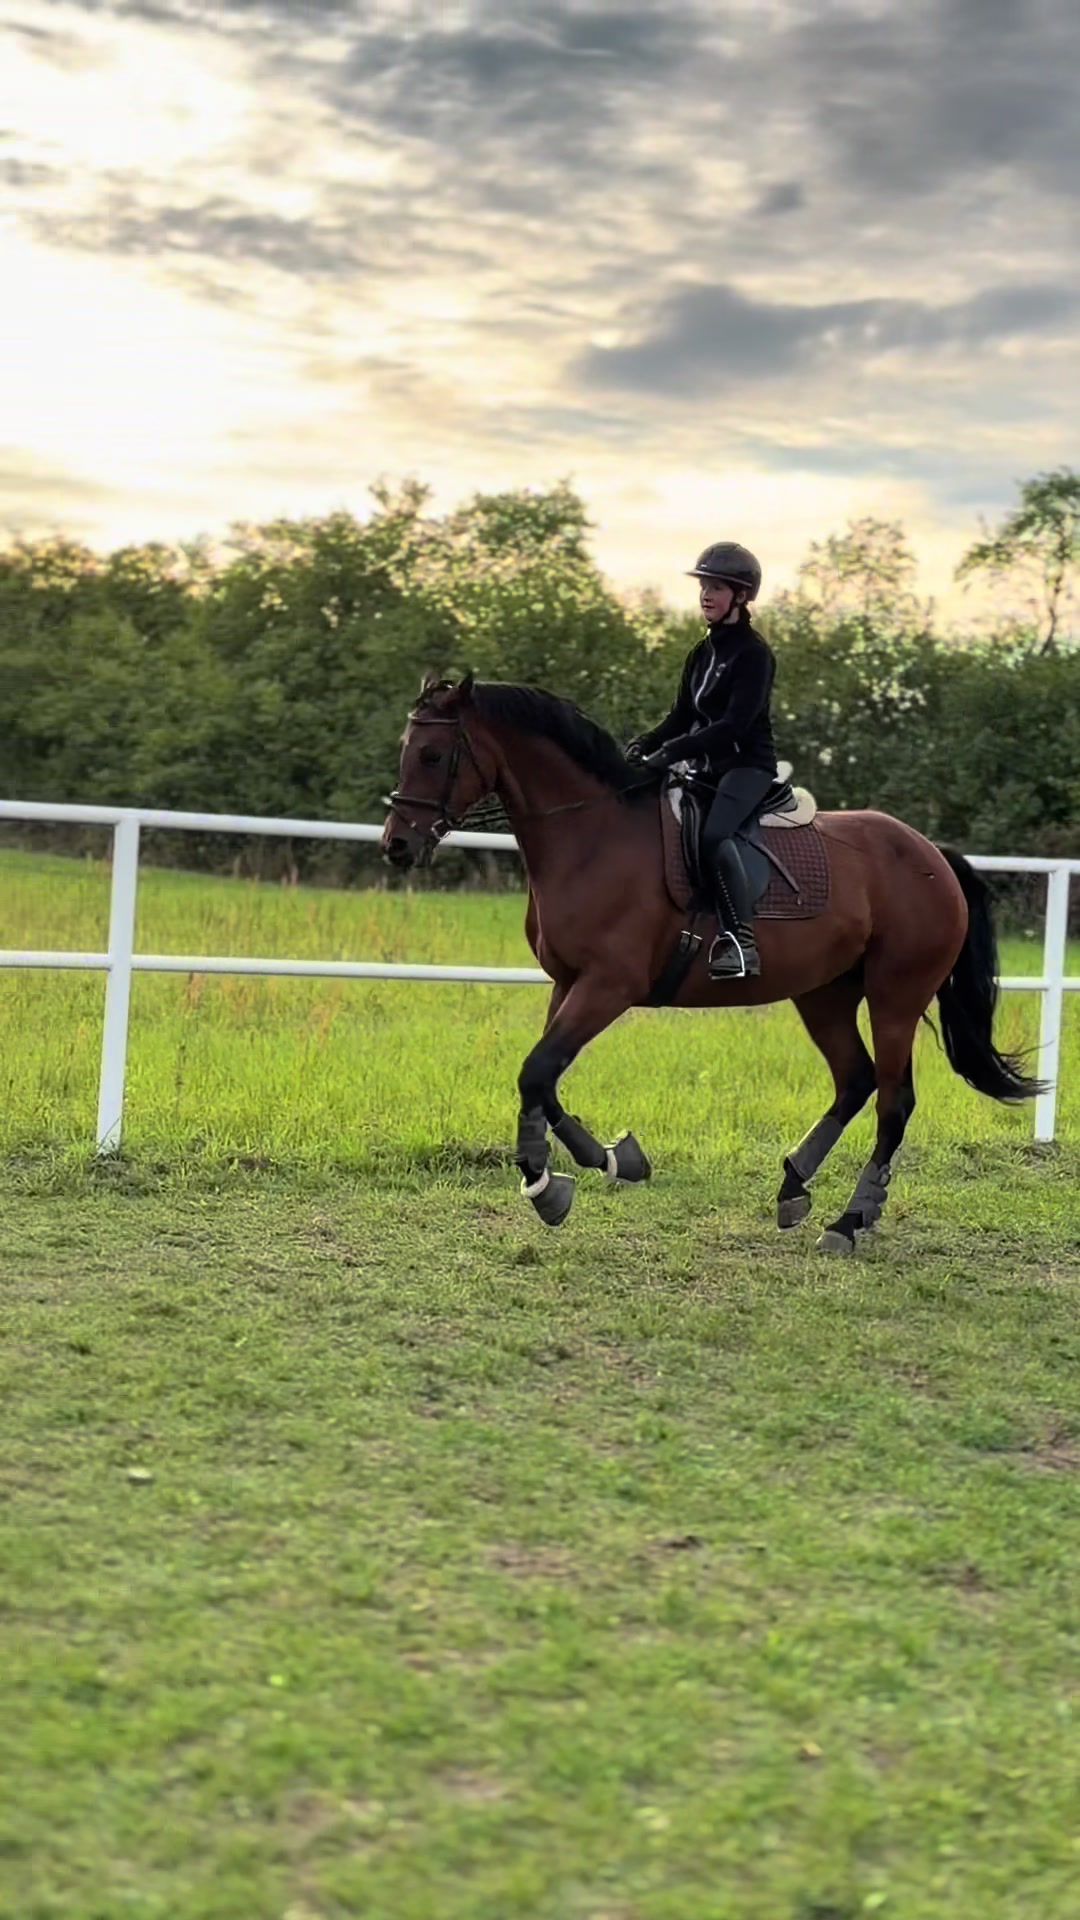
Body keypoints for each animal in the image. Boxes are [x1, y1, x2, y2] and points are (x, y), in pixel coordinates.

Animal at [382, 672, 1044, 1252]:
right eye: (407, 751)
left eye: (434, 756)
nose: (397, 844)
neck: (591, 834)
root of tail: (930, 853)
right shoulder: (568, 984)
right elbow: (541, 1081)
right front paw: (595, 1166)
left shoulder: (608, 986)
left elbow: (537, 1071)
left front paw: (557, 1183)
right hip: (825, 993)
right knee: (854, 1080)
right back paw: (793, 1186)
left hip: (895, 997)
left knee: (892, 1100)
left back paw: (850, 1220)